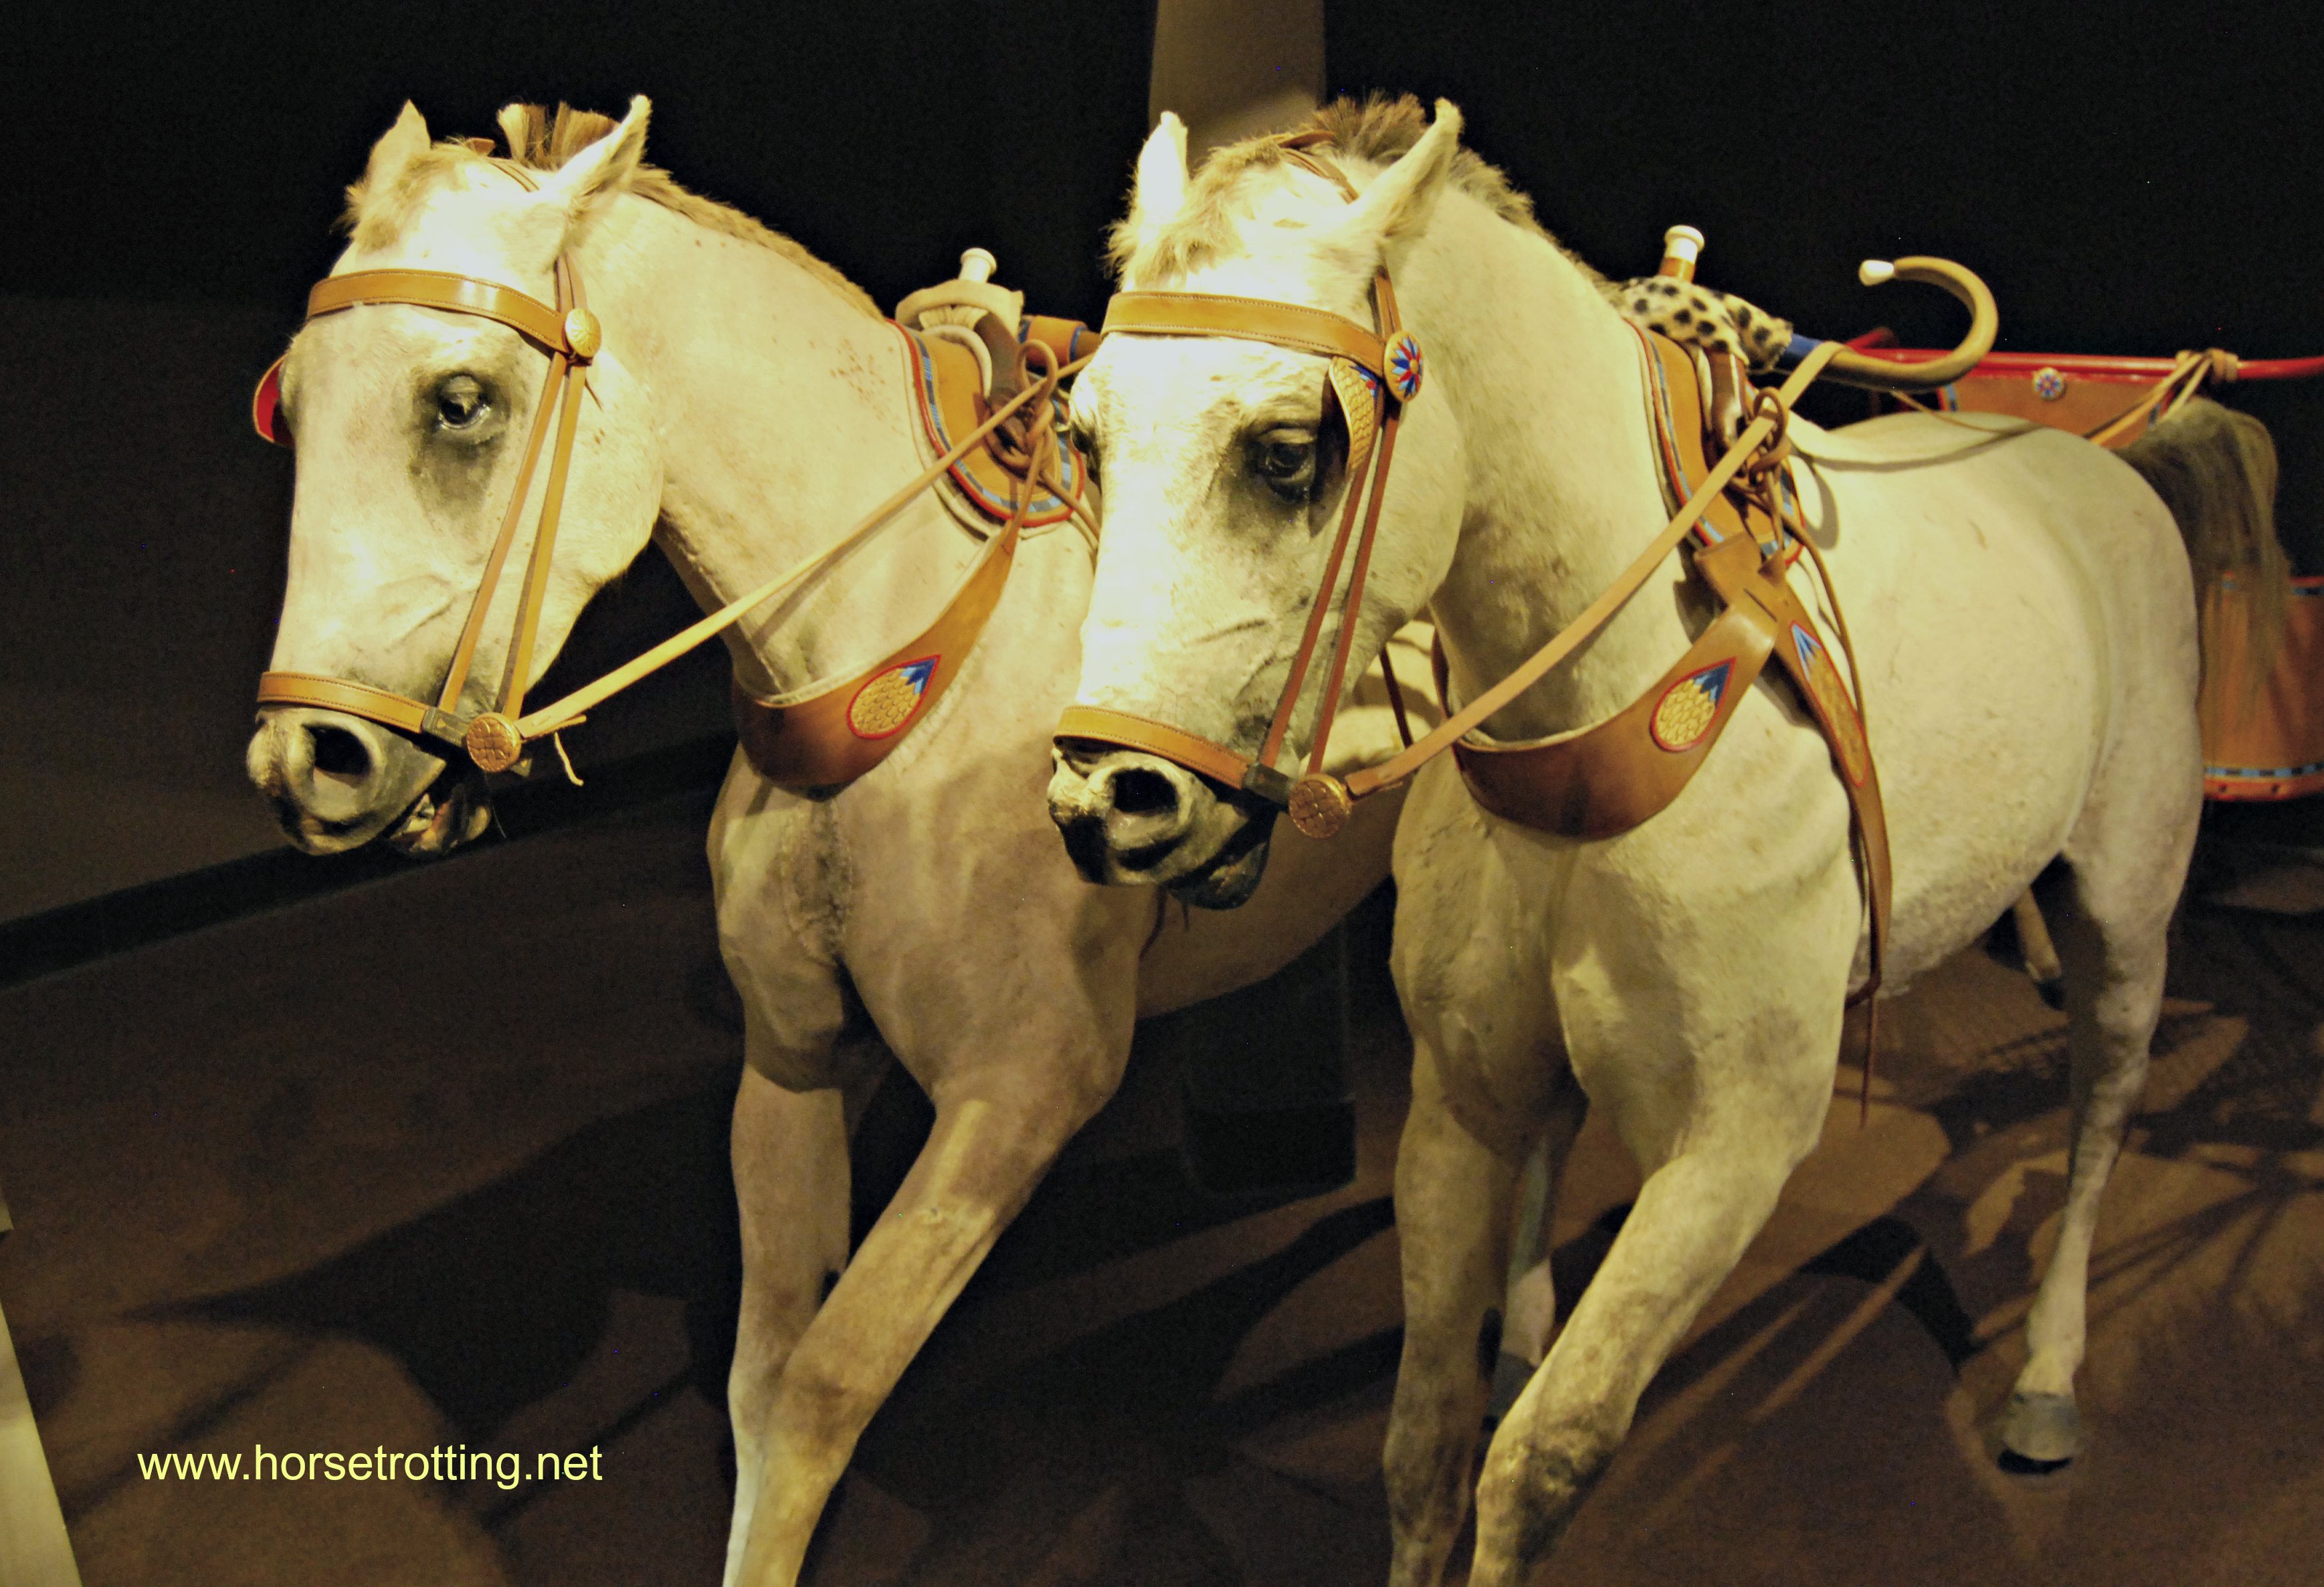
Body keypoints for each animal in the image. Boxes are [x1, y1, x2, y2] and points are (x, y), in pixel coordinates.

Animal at [239, 98, 1433, 1585]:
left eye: (460, 401)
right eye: (289, 396)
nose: (305, 761)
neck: (904, 652)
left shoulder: (1022, 1090)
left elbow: (827, 1381)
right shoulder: (789, 1054)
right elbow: (764, 1382)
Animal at [1046, 96, 2281, 1586]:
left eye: (1285, 449)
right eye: (1084, 435)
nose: (1108, 797)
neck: (1616, 710)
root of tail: (2106, 464)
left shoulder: (1732, 1146)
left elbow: (1544, 1455)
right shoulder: (1457, 1100)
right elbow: (1421, 1439)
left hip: (2127, 902)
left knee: (2102, 1102)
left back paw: (2046, 1371)